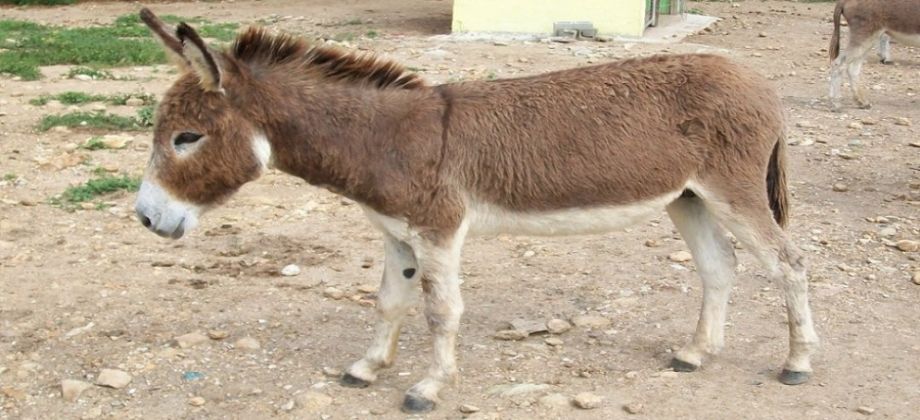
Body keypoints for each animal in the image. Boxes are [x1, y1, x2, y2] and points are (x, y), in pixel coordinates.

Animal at [134, 8, 818, 413]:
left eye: (187, 138)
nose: (144, 219)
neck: (387, 138)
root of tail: (756, 80)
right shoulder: (396, 234)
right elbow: (389, 302)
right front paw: (367, 367)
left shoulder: (438, 230)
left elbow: (441, 312)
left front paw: (428, 387)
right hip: (688, 197)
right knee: (720, 267)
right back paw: (695, 353)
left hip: (732, 190)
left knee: (789, 262)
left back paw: (797, 362)